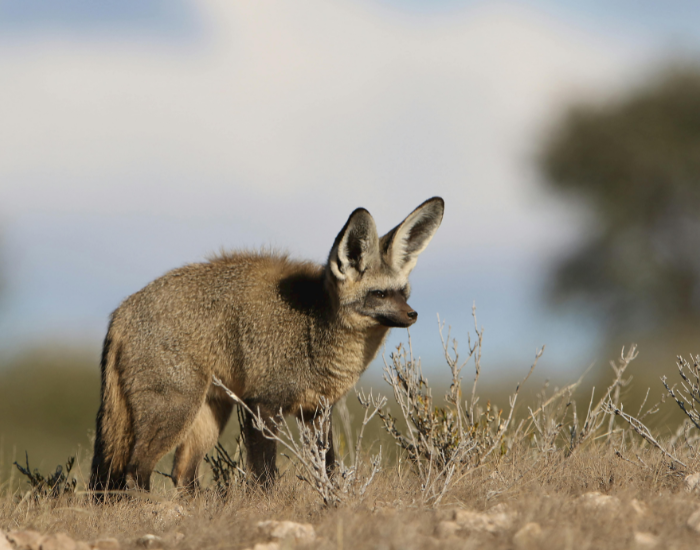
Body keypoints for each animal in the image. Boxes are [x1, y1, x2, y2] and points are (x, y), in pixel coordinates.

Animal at [89, 197, 444, 493]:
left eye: (403, 293)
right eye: (379, 294)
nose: (412, 314)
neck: (313, 331)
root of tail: (121, 311)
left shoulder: (317, 411)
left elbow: (329, 472)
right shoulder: (262, 403)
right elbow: (265, 478)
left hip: (208, 416)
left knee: (182, 476)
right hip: (175, 411)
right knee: (135, 471)